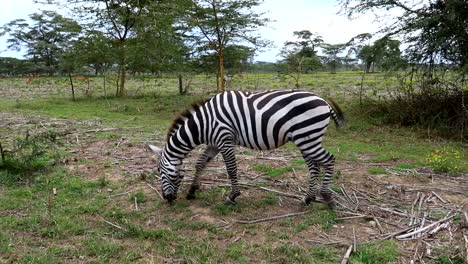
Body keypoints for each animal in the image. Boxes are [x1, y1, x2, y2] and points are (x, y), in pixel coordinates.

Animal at [148, 89, 346, 209]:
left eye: (159, 171)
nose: (167, 198)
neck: (204, 123)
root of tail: (323, 101)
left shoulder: (225, 139)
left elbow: (231, 169)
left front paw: (232, 196)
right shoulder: (214, 143)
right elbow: (200, 163)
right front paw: (192, 191)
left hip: (307, 136)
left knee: (329, 160)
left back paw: (327, 197)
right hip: (306, 138)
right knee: (314, 166)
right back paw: (308, 198)